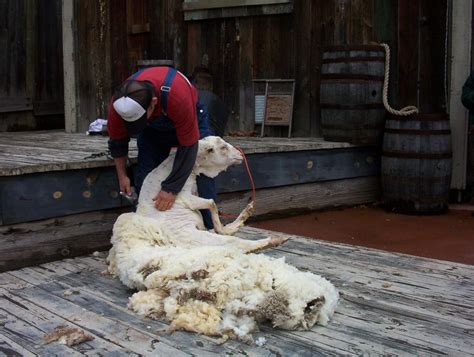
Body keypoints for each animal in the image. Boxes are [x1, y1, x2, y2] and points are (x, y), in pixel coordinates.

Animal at [108, 136, 338, 340]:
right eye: (221, 147)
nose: (240, 155)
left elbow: (211, 210)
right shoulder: (186, 199)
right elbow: (211, 203)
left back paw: (246, 215)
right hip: (212, 243)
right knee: (241, 245)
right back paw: (273, 239)